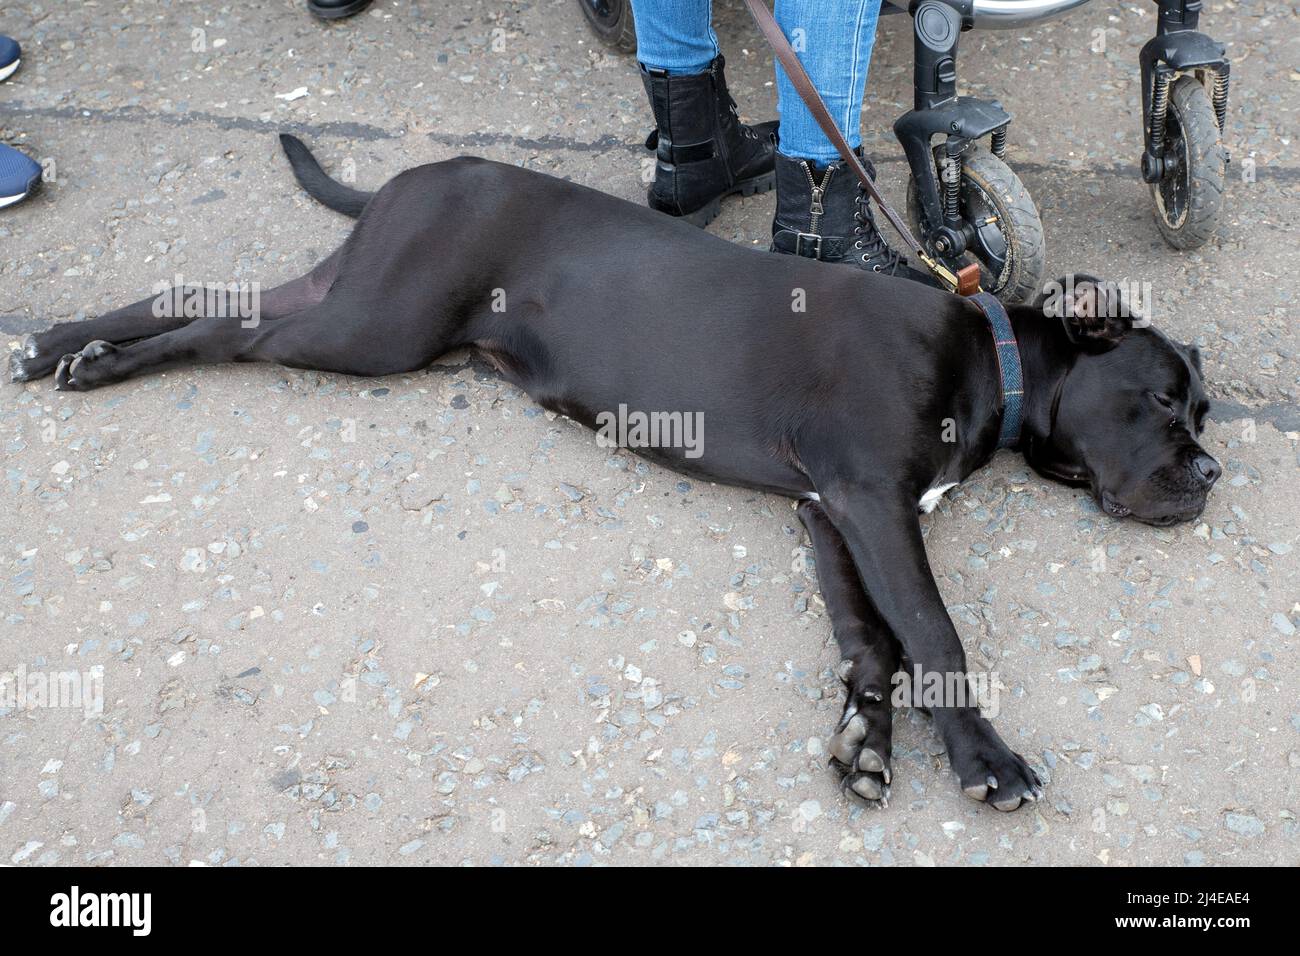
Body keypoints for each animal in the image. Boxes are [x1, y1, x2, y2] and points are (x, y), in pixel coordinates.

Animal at [7, 132, 1216, 806]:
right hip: (379, 326)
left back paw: (67, 339)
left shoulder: (829, 513)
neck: (990, 355)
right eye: (1163, 399)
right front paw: (985, 760)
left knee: (210, 299)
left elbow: (868, 639)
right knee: (230, 332)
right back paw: (97, 363)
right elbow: (933, 631)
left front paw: (866, 745)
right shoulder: (874, 500)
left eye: (1204, 411)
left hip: (363, 299)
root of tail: (419, 174)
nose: (1208, 475)